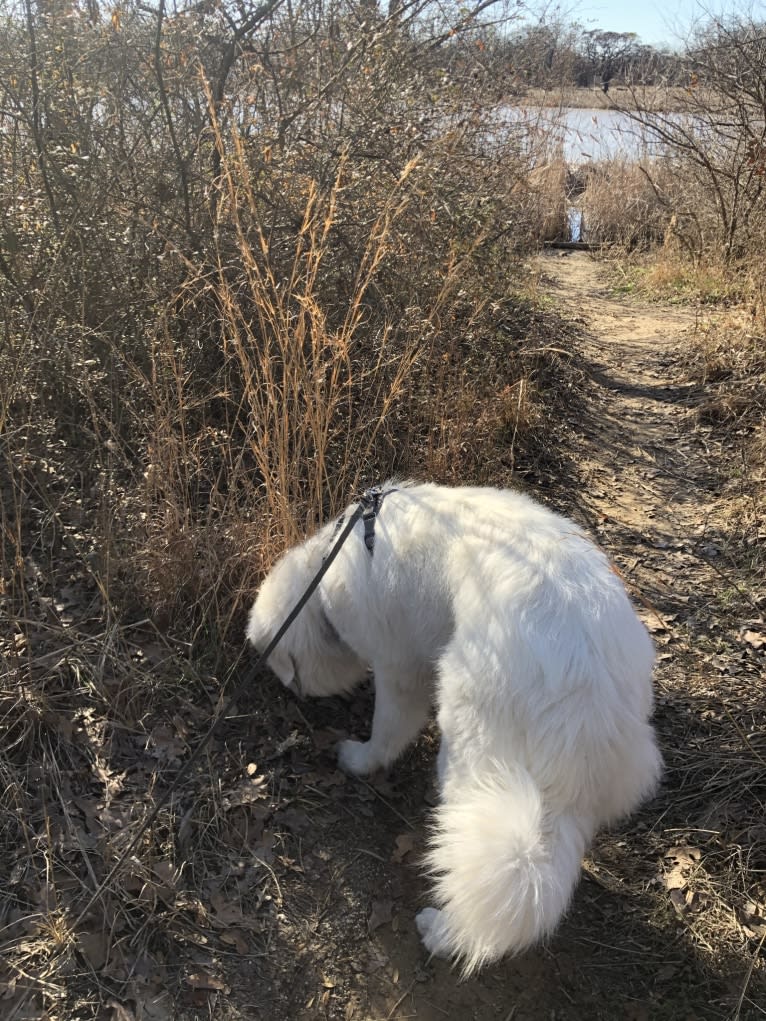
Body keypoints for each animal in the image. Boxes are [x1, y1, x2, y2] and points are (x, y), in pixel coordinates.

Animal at [249, 481, 661, 976]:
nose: (292, 697)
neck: (328, 566)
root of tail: (585, 707)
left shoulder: (397, 666)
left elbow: (388, 729)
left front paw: (360, 760)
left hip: (467, 741)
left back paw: (441, 932)